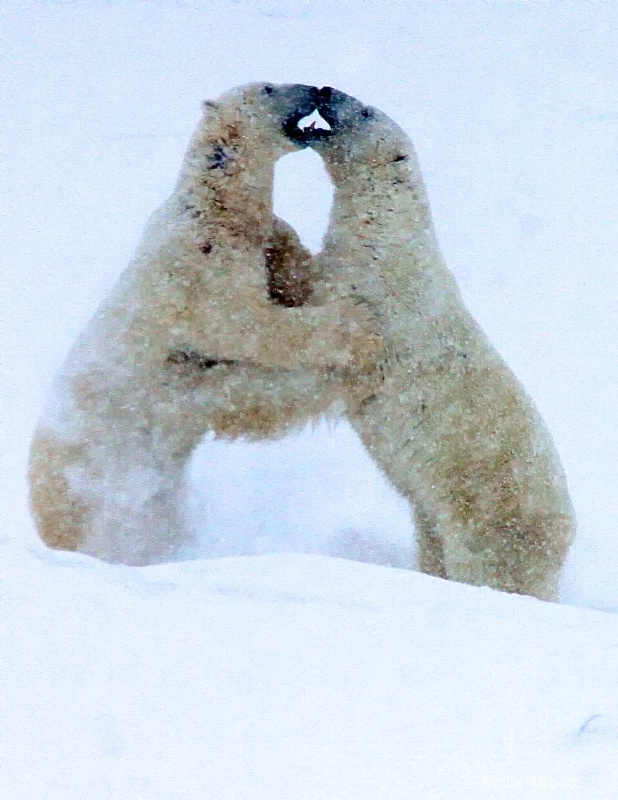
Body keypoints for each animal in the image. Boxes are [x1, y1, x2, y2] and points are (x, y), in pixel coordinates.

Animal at [30, 84, 380, 564]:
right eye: (269, 86)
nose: (314, 88)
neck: (216, 206)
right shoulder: (200, 263)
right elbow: (249, 324)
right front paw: (359, 327)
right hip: (88, 478)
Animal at [306, 87, 576, 600]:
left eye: (364, 110)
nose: (325, 90)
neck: (388, 229)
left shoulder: (383, 288)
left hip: (490, 511)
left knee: (486, 565)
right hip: (439, 513)